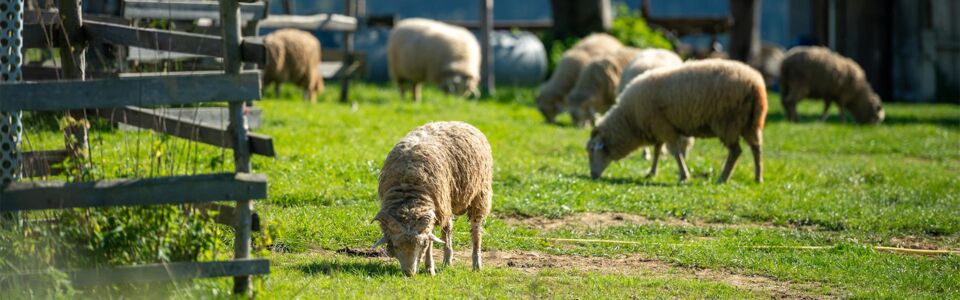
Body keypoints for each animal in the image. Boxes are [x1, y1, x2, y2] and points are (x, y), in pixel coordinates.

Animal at [374, 120, 496, 276]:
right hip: (447, 201)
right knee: (448, 229)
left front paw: (429, 268)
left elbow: (431, 243)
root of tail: (459, 122)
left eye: (422, 244)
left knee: (476, 230)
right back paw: (447, 260)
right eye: (395, 245)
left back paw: (476, 264)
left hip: (480, 194)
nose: (409, 273)